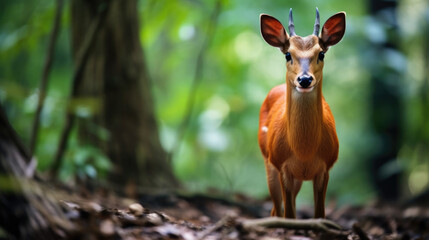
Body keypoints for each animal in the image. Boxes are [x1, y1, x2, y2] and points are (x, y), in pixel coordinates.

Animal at [258, 8, 344, 219]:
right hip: (268, 161)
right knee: (276, 209)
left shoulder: (326, 166)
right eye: (288, 54)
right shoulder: (282, 166)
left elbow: (319, 213)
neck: (304, 151)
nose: (304, 79)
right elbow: (288, 213)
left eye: (321, 54)